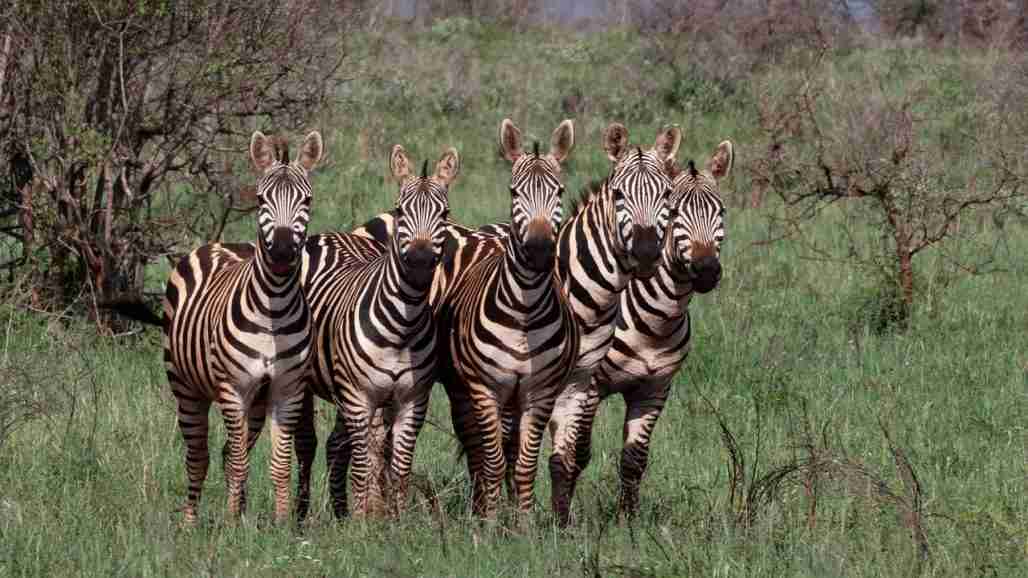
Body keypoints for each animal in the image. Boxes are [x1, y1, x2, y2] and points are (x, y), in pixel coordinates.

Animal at [159, 131, 323, 525]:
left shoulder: (286, 391)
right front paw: (234, 524)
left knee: (225, 452)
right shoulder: (233, 389)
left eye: (307, 199)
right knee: (199, 457)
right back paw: (191, 521)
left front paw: (280, 523)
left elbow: (278, 464)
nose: (282, 252)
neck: (274, 307)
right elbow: (238, 463)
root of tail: (218, 243)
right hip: (186, 387)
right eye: (262, 199)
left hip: (257, 403)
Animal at [295, 145, 459, 518]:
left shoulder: (413, 401)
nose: (419, 261)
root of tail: (330, 235)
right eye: (400, 210)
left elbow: (398, 467)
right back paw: (301, 513)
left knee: (339, 445)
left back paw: (341, 511)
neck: (403, 325)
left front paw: (393, 518)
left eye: (444, 213)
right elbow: (364, 465)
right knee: (306, 444)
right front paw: (364, 521)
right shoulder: (360, 398)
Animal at [433, 119, 579, 519]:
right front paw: (490, 521)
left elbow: (525, 463)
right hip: (465, 389)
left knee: (512, 450)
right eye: (515, 192)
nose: (540, 249)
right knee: (479, 449)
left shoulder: (540, 392)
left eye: (559, 191)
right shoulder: (486, 389)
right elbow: (492, 460)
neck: (524, 312)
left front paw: (523, 522)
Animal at [592, 140, 732, 519]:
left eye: (721, 211)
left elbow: (634, 459)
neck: (656, 323)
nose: (707, 270)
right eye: (675, 211)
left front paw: (627, 519)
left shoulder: (655, 388)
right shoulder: (589, 385)